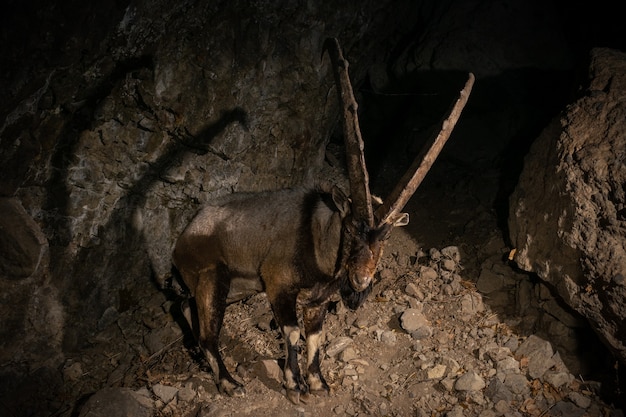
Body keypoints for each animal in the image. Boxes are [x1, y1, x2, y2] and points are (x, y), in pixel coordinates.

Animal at [171, 39, 472, 404]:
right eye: (352, 228)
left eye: (385, 237)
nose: (360, 281)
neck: (319, 241)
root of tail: (183, 237)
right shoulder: (278, 284)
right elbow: (292, 332)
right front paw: (293, 384)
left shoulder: (318, 301)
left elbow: (314, 336)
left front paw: (317, 383)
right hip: (212, 279)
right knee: (207, 334)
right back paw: (229, 383)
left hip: (225, 288)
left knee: (185, 307)